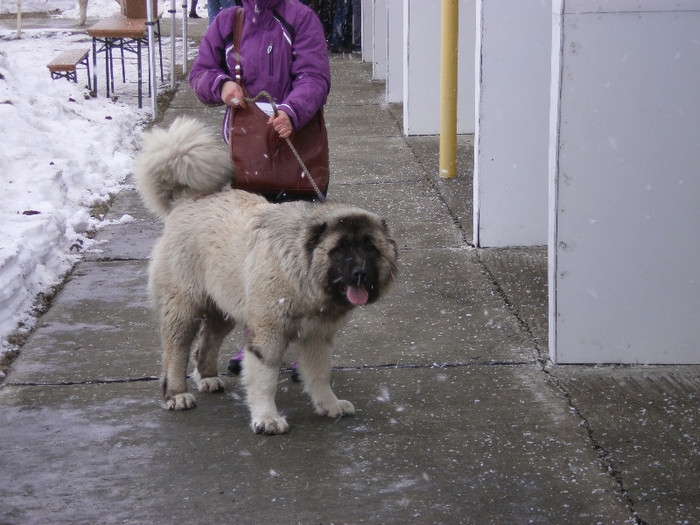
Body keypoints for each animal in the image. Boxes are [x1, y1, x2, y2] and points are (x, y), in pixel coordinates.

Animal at [135, 117, 400, 434]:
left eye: (370, 248)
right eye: (341, 249)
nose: (360, 273)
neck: (301, 272)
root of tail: (186, 199)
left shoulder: (317, 333)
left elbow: (320, 373)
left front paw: (329, 404)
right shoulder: (268, 332)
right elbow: (265, 379)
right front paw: (267, 418)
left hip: (225, 305)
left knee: (207, 341)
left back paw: (207, 377)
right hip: (184, 304)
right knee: (177, 348)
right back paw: (176, 394)